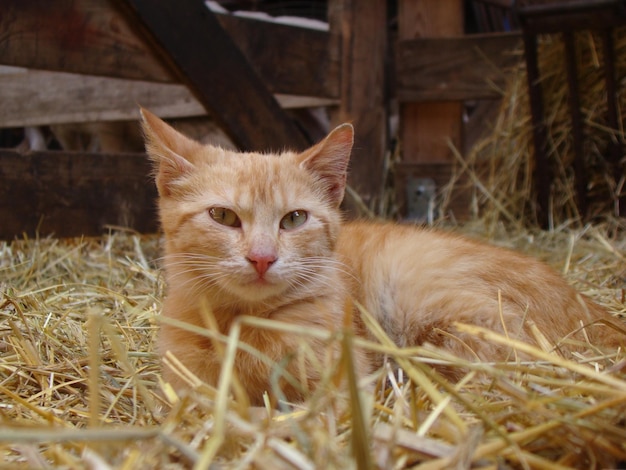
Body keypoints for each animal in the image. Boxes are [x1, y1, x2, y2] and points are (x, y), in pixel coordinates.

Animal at [139, 108, 620, 406]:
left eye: (294, 219)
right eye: (222, 216)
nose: (262, 258)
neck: (241, 324)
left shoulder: (343, 384)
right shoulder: (180, 389)